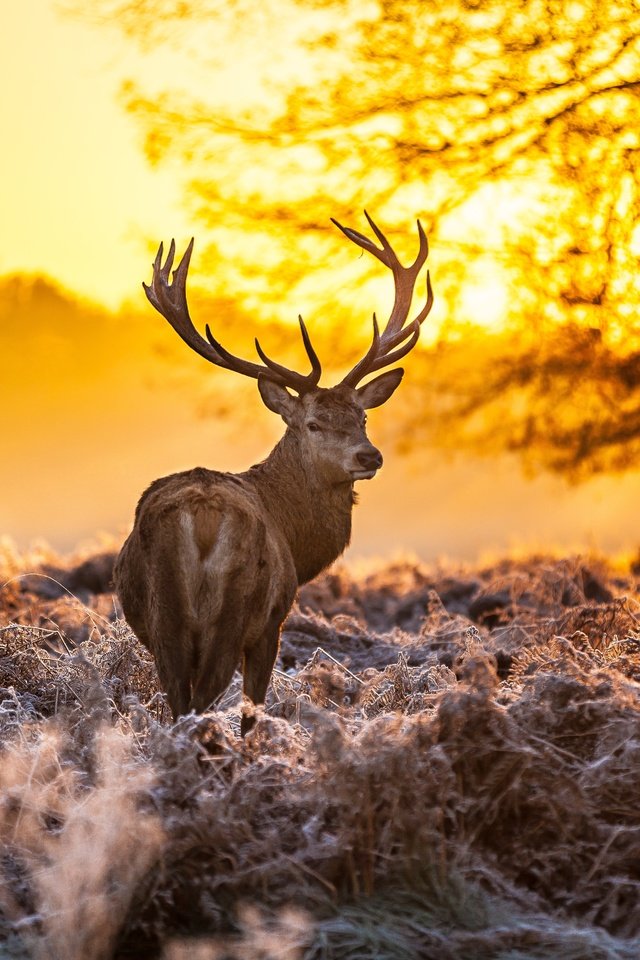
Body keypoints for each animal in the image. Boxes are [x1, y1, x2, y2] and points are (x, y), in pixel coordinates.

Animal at [115, 212, 436, 736]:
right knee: (204, 702)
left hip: (166, 620)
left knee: (180, 702)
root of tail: (200, 519)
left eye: (363, 417)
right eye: (313, 423)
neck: (296, 539)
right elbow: (253, 709)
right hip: (236, 611)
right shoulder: (273, 621)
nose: (369, 457)